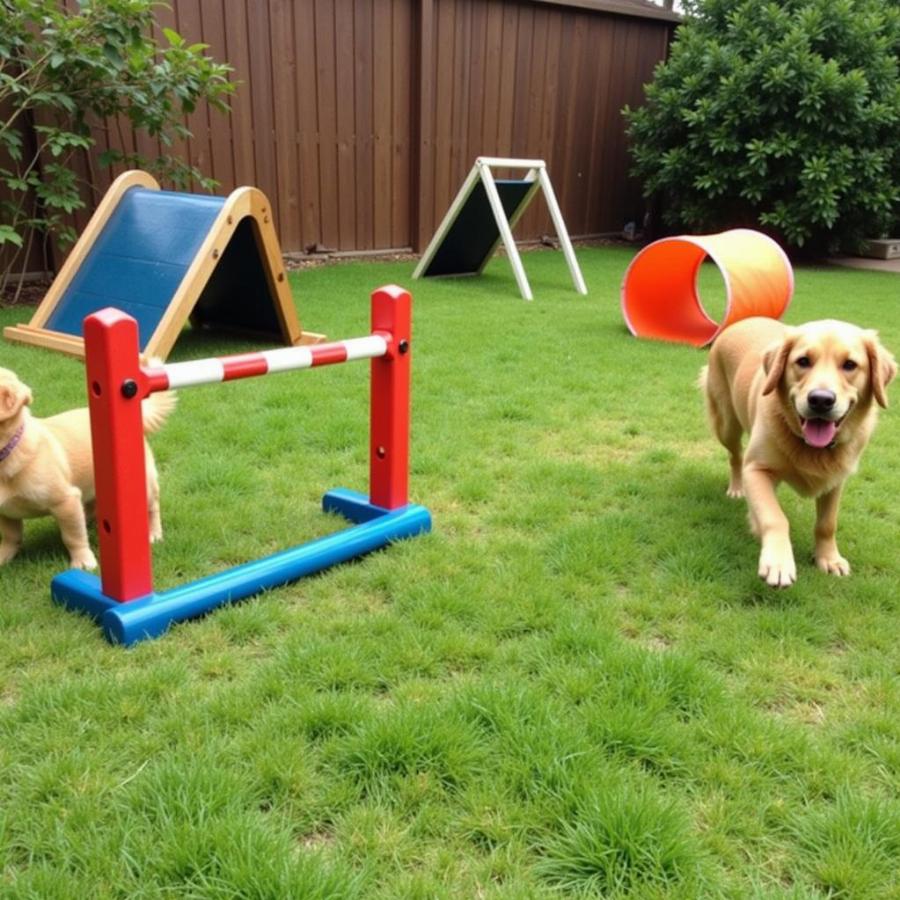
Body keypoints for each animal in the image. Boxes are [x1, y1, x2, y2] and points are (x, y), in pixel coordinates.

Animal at [0, 366, 176, 568]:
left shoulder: (66, 501)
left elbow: (73, 537)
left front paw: (83, 562)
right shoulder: (6, 513)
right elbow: (10, 537)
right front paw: (3, 558)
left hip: (143, 486)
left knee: (152, 508)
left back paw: (154, 534)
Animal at [704, 318, 892, 592]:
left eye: (850, 365)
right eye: (803, 361)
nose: (821, 400)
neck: (812, 448)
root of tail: (744, 320)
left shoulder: (835, 480)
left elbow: (827, 524)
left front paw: (829, 558)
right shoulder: (756, 469)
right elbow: (775, 517)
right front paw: (779, 562)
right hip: (726, 425)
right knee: (735, 457)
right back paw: (738, 489)